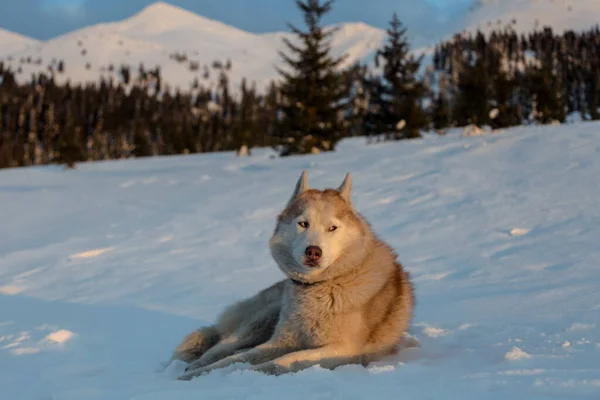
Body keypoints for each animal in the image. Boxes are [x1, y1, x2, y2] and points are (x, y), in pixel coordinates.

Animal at [173, 172, 414, 378]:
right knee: (223, 345)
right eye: (303, 223)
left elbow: (282, 361)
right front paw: (195, 376)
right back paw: (194, 364)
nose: (313, 251)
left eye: (332, 228)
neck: (324, 286)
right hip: (264, 317)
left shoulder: (343, 349)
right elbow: (238, 358)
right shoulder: (279, 341)